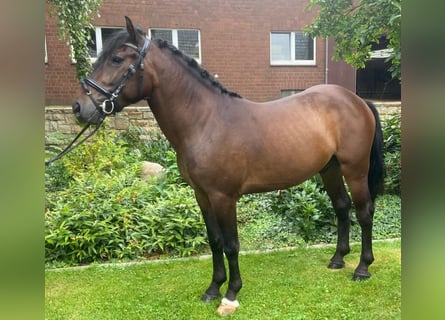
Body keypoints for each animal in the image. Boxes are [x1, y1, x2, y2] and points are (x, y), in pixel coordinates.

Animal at [72, 16, 382, 316]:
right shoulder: (202, 195)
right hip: (330, 169)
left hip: (355, 170)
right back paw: (338, 259)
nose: (79, 108)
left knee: (364, 213)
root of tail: (355, 99)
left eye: (116, 59)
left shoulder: (224, 197)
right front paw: (213, 288)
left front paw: (231, 294)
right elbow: (215, 241)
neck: (205, 122)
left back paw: (362, 268)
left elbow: (232, 245)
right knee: (341, 207)